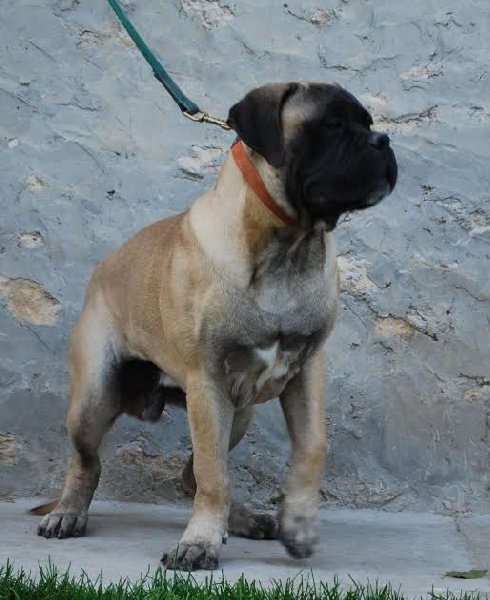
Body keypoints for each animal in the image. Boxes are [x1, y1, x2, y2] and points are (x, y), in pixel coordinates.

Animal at [32, 82, 397, 570]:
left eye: (368, 123)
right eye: (332, 124)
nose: (383, 142)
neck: (287, 247)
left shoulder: (306, 371)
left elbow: (310, 448)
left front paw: (299, 523)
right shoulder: (208, 382)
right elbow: (213, 474)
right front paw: (200, 542)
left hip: (238, 411)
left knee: (193, 474)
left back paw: (244, 520)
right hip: (96, 397)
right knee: (90, 463)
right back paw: (69, 513)